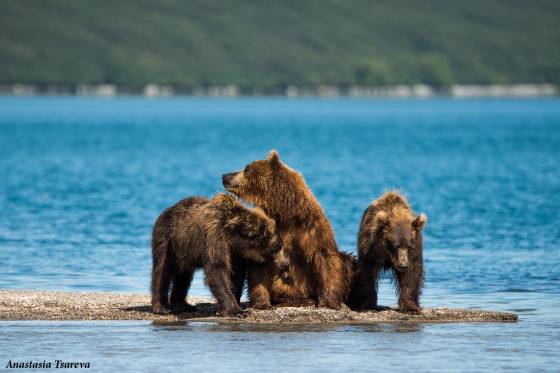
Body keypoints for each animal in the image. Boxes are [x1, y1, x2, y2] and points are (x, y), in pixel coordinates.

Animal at [151, 193, 286, 316]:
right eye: (278, 247)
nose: (286, 263)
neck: (233, 236)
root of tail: (167, 209)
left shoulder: (236, 252)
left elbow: (236, 274)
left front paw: (235, 302)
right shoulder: (214, 236)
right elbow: (217, 269)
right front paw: (235, 310)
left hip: (185, 249)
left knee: (183, 275)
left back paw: (182, 305)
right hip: (167, 236)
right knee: (162, 269)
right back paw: (161, 308)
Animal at [222, 148, 350, 308]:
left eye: (246, 168)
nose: (224, 176)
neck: (284, 211)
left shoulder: (310, 228)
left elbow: (324, 256)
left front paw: (329, 301)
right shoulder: (266, 230)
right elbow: (259, 266)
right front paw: (262, 303)